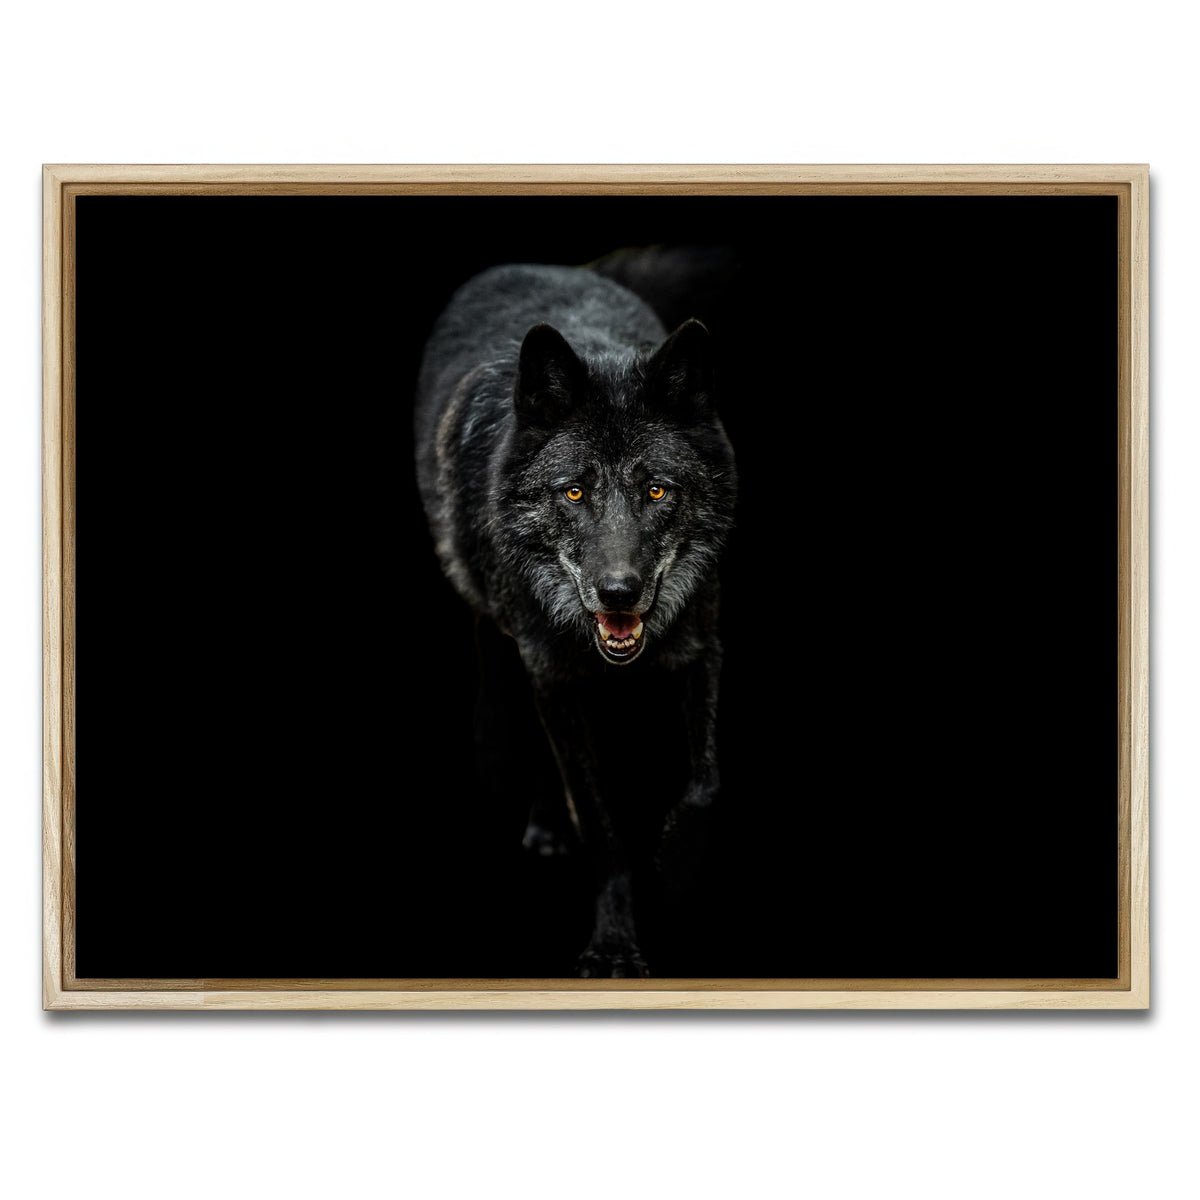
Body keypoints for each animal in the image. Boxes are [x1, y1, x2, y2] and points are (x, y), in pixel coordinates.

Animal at [415, 262, 737, 977]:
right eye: (574, 491)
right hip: (501, 637)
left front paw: (675, 875)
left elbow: (706, 784)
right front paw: (614, 941)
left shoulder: (702, 648)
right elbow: (598, 821)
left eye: (656, 490)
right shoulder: (552, 676)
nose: (618, 592)